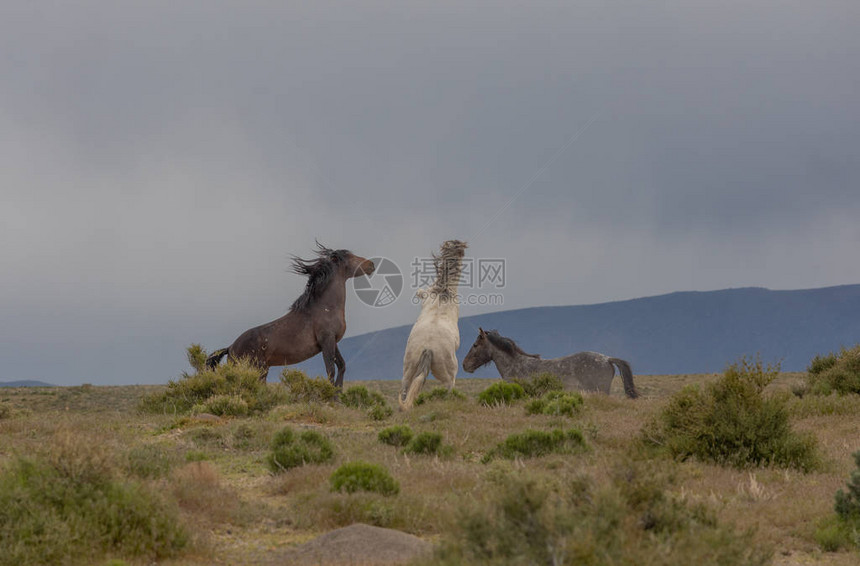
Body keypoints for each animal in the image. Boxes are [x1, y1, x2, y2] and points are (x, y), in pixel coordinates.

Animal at [207, 242, 374, 388]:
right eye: (350, 257)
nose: (371, 265)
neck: (325, 308)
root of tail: (230, 347)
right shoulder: (326, 340)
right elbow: (330, 371)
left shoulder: (333, 341)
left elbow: (341, 366)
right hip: (253, 368)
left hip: (262, 370)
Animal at [398, 241, 466, 412]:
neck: (443, 293)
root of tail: (428, 348)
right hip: (449, 376)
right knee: (449, 391)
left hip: (408, 369)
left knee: (404, 392)